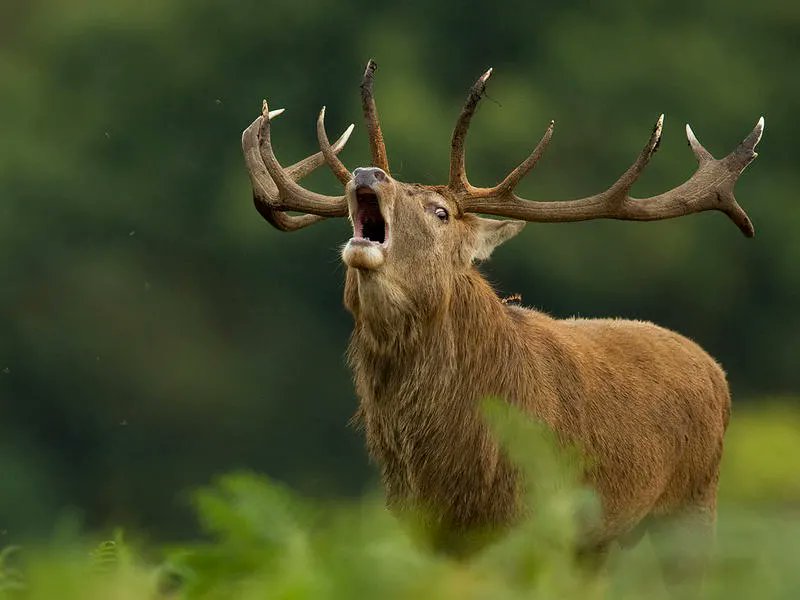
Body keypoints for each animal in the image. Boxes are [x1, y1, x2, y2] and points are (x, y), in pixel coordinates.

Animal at [241, 61, 764, 564]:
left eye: (440, 211)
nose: (367, 173)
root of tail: (719, 374)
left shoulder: (536, 517)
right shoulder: (421, 526)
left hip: (693, 503)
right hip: (597, 542)